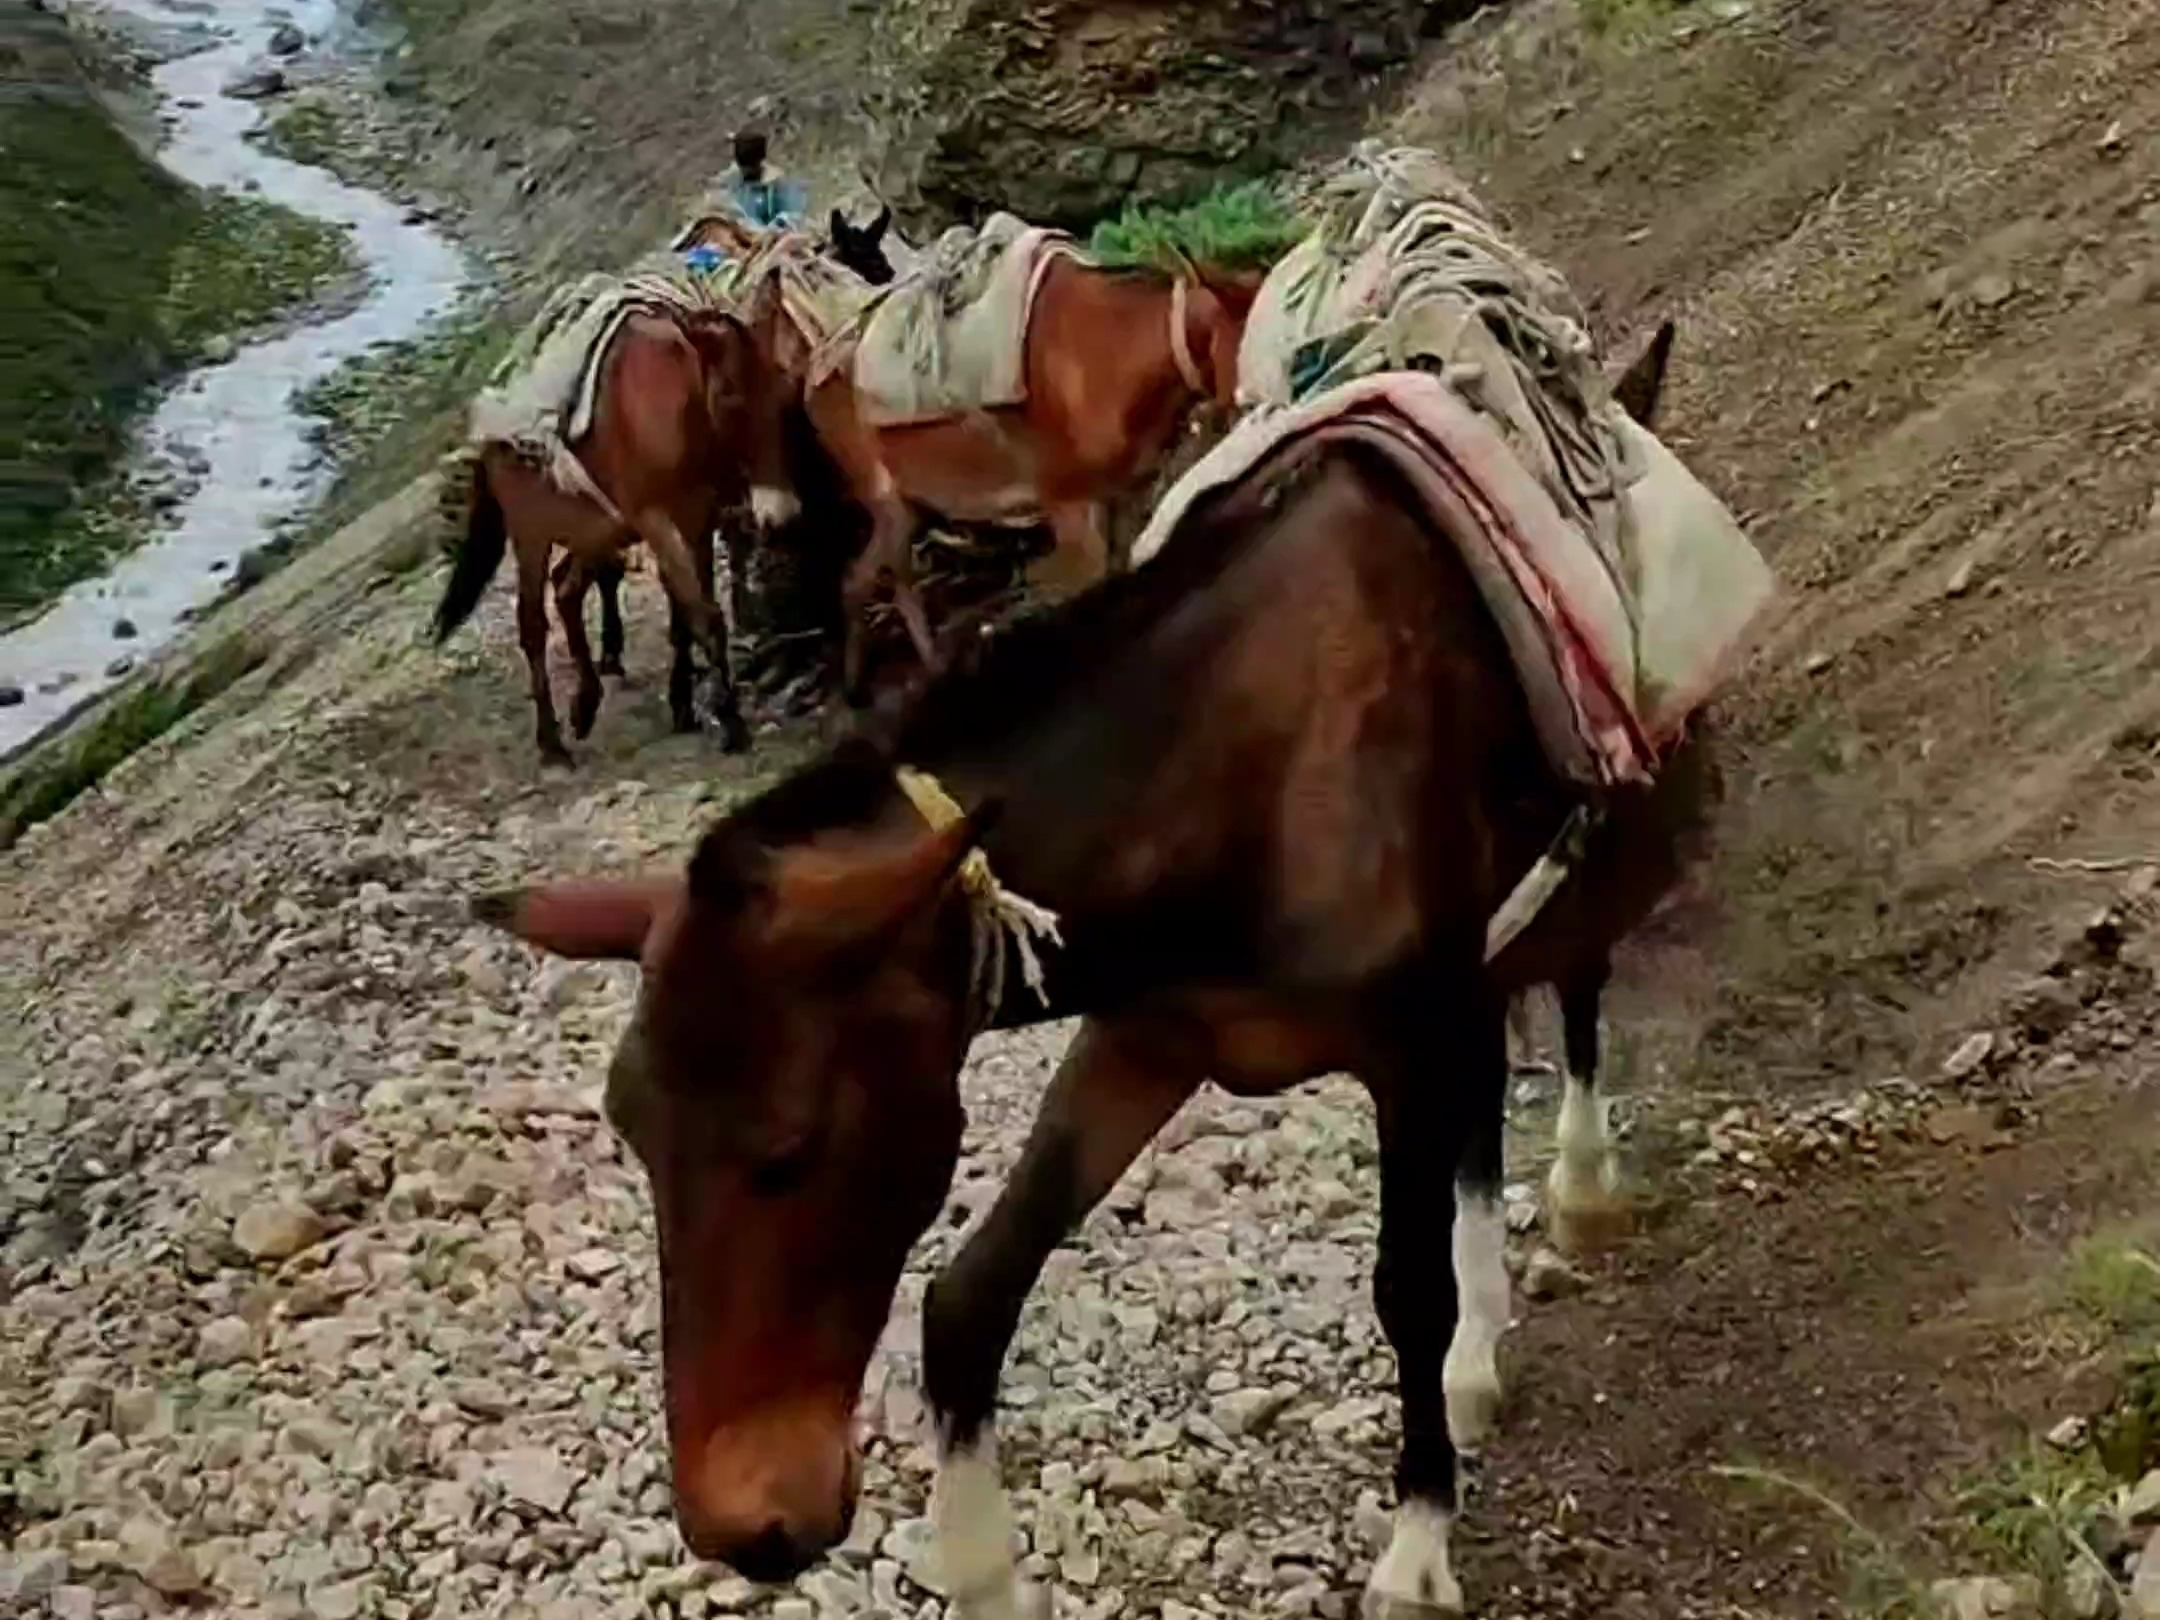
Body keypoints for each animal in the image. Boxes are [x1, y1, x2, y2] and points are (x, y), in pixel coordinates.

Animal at [433, 288, 790, 765]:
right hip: (532, 536)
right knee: (533, 623)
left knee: (566, 588)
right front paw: (730, 722)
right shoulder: (657, 521)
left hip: (595, 531)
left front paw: (686, 705)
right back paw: (552, 743)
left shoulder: (696, 519)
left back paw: (586, 702)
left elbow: (688, 614)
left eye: (780, 389)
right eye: (731, 395)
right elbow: (704, 616)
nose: (778, 509)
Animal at [473, 327, 1707, 1616]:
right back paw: (1478, 1362)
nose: (742, 1527)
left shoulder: (1408, 1044)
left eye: (790, 1151)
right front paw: (981, 1573)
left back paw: (1579, 1189)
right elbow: (968, 1302)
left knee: (1577, 998)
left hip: (1590, 863)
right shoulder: (1145, 1043)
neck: (1230, 774)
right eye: (638, 1142)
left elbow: (1407, 1291)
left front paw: (1416, 1548)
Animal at [802, 255, 1262, 701]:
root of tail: (810, 378)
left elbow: (1123, 567)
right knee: (867, 576)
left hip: (909, 506)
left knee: (879, 576)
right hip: (884, 497)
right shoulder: (1066, 500)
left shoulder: (1120, 490)